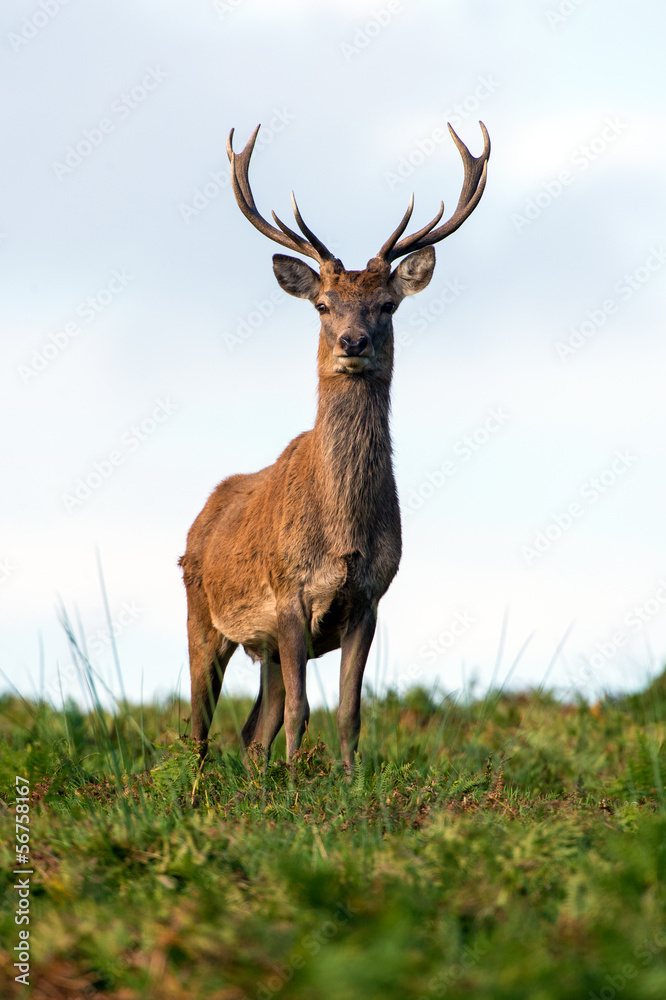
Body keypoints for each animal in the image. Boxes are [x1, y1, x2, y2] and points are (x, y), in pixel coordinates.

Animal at [179, 120, 490, 770]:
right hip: (202, 613)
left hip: (264, 647)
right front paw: (301, 782)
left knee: (252, 729)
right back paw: (197, 784)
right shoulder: (290, 594)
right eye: (323, 305)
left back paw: (258, 777)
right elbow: (303, 709)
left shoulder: (369, 599)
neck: (341, 534)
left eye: (388, 305)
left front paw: (347, 781)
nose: (353, 341)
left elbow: (349, 712)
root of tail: (202, 516)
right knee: (196, 726)